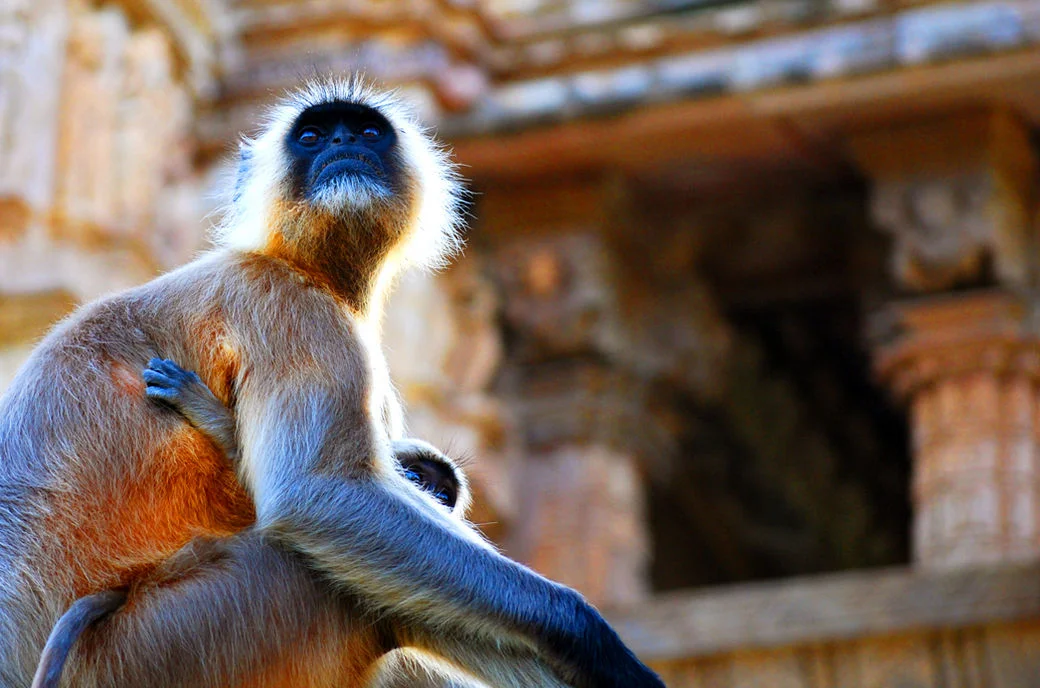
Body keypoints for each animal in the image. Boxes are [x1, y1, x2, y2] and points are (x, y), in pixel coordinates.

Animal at [0, 76, 664, 688]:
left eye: (367, 131)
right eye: (313, 136)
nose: (344, 142)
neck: (301, 264)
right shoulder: (291, 308)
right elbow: (314, 497)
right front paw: (592, 640)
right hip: (160, 649)